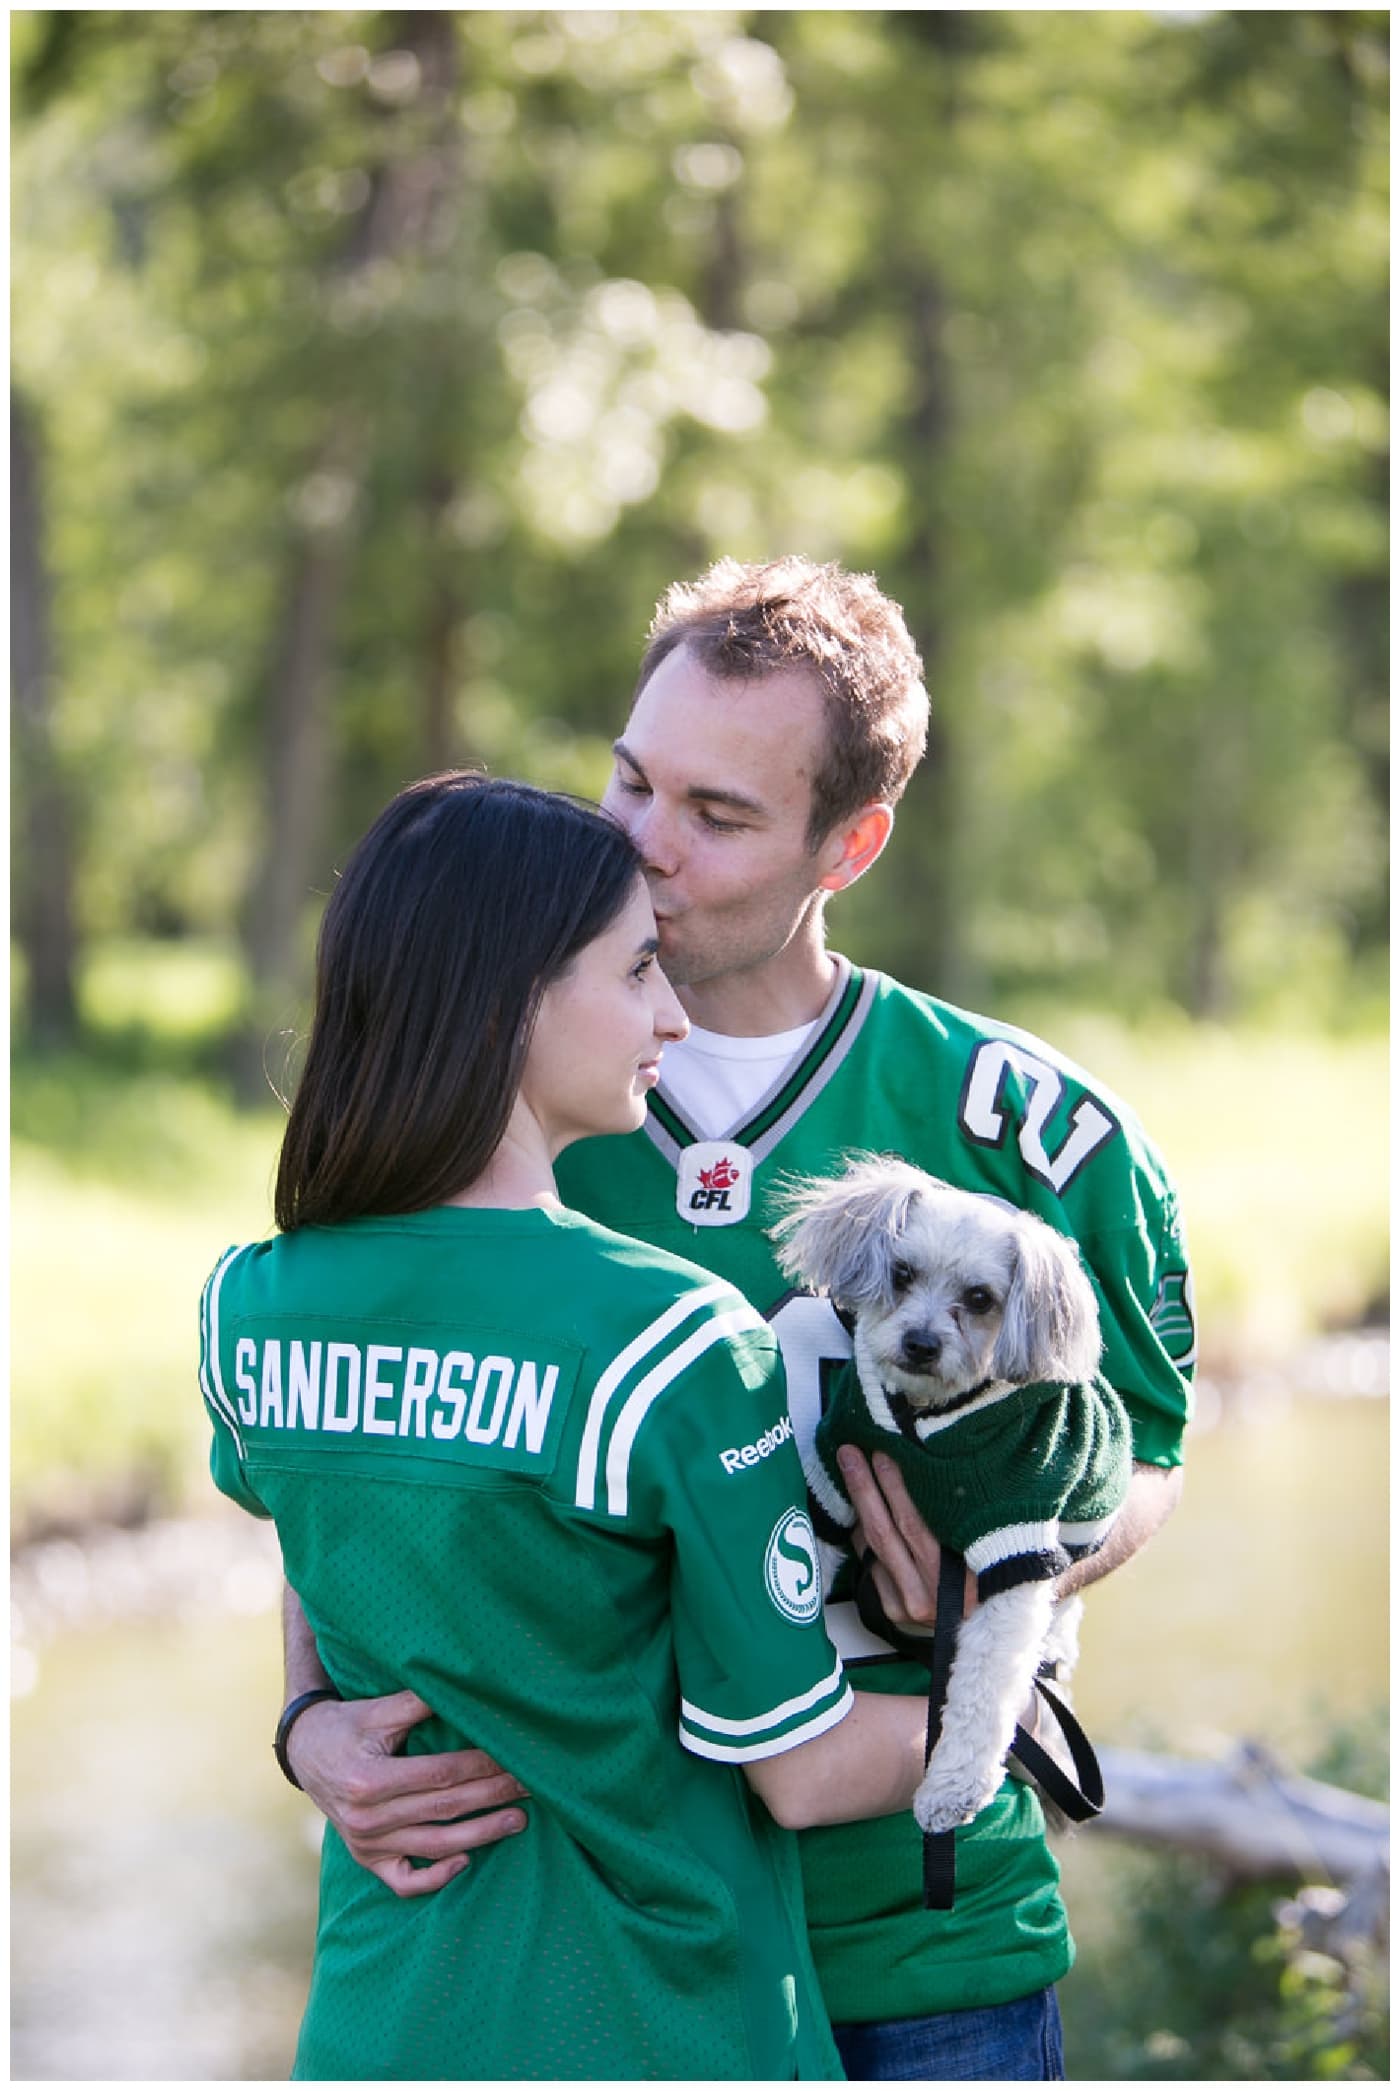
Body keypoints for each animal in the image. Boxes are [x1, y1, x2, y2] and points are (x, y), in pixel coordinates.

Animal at [773, 1162, 1136, 1831]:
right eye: (901, 1273)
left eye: (981, 1299)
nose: (920, 1343)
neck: (926, 1417)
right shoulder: (833, 1482)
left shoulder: (1013, 1541)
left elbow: (983, 1692)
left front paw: (953, 1790)